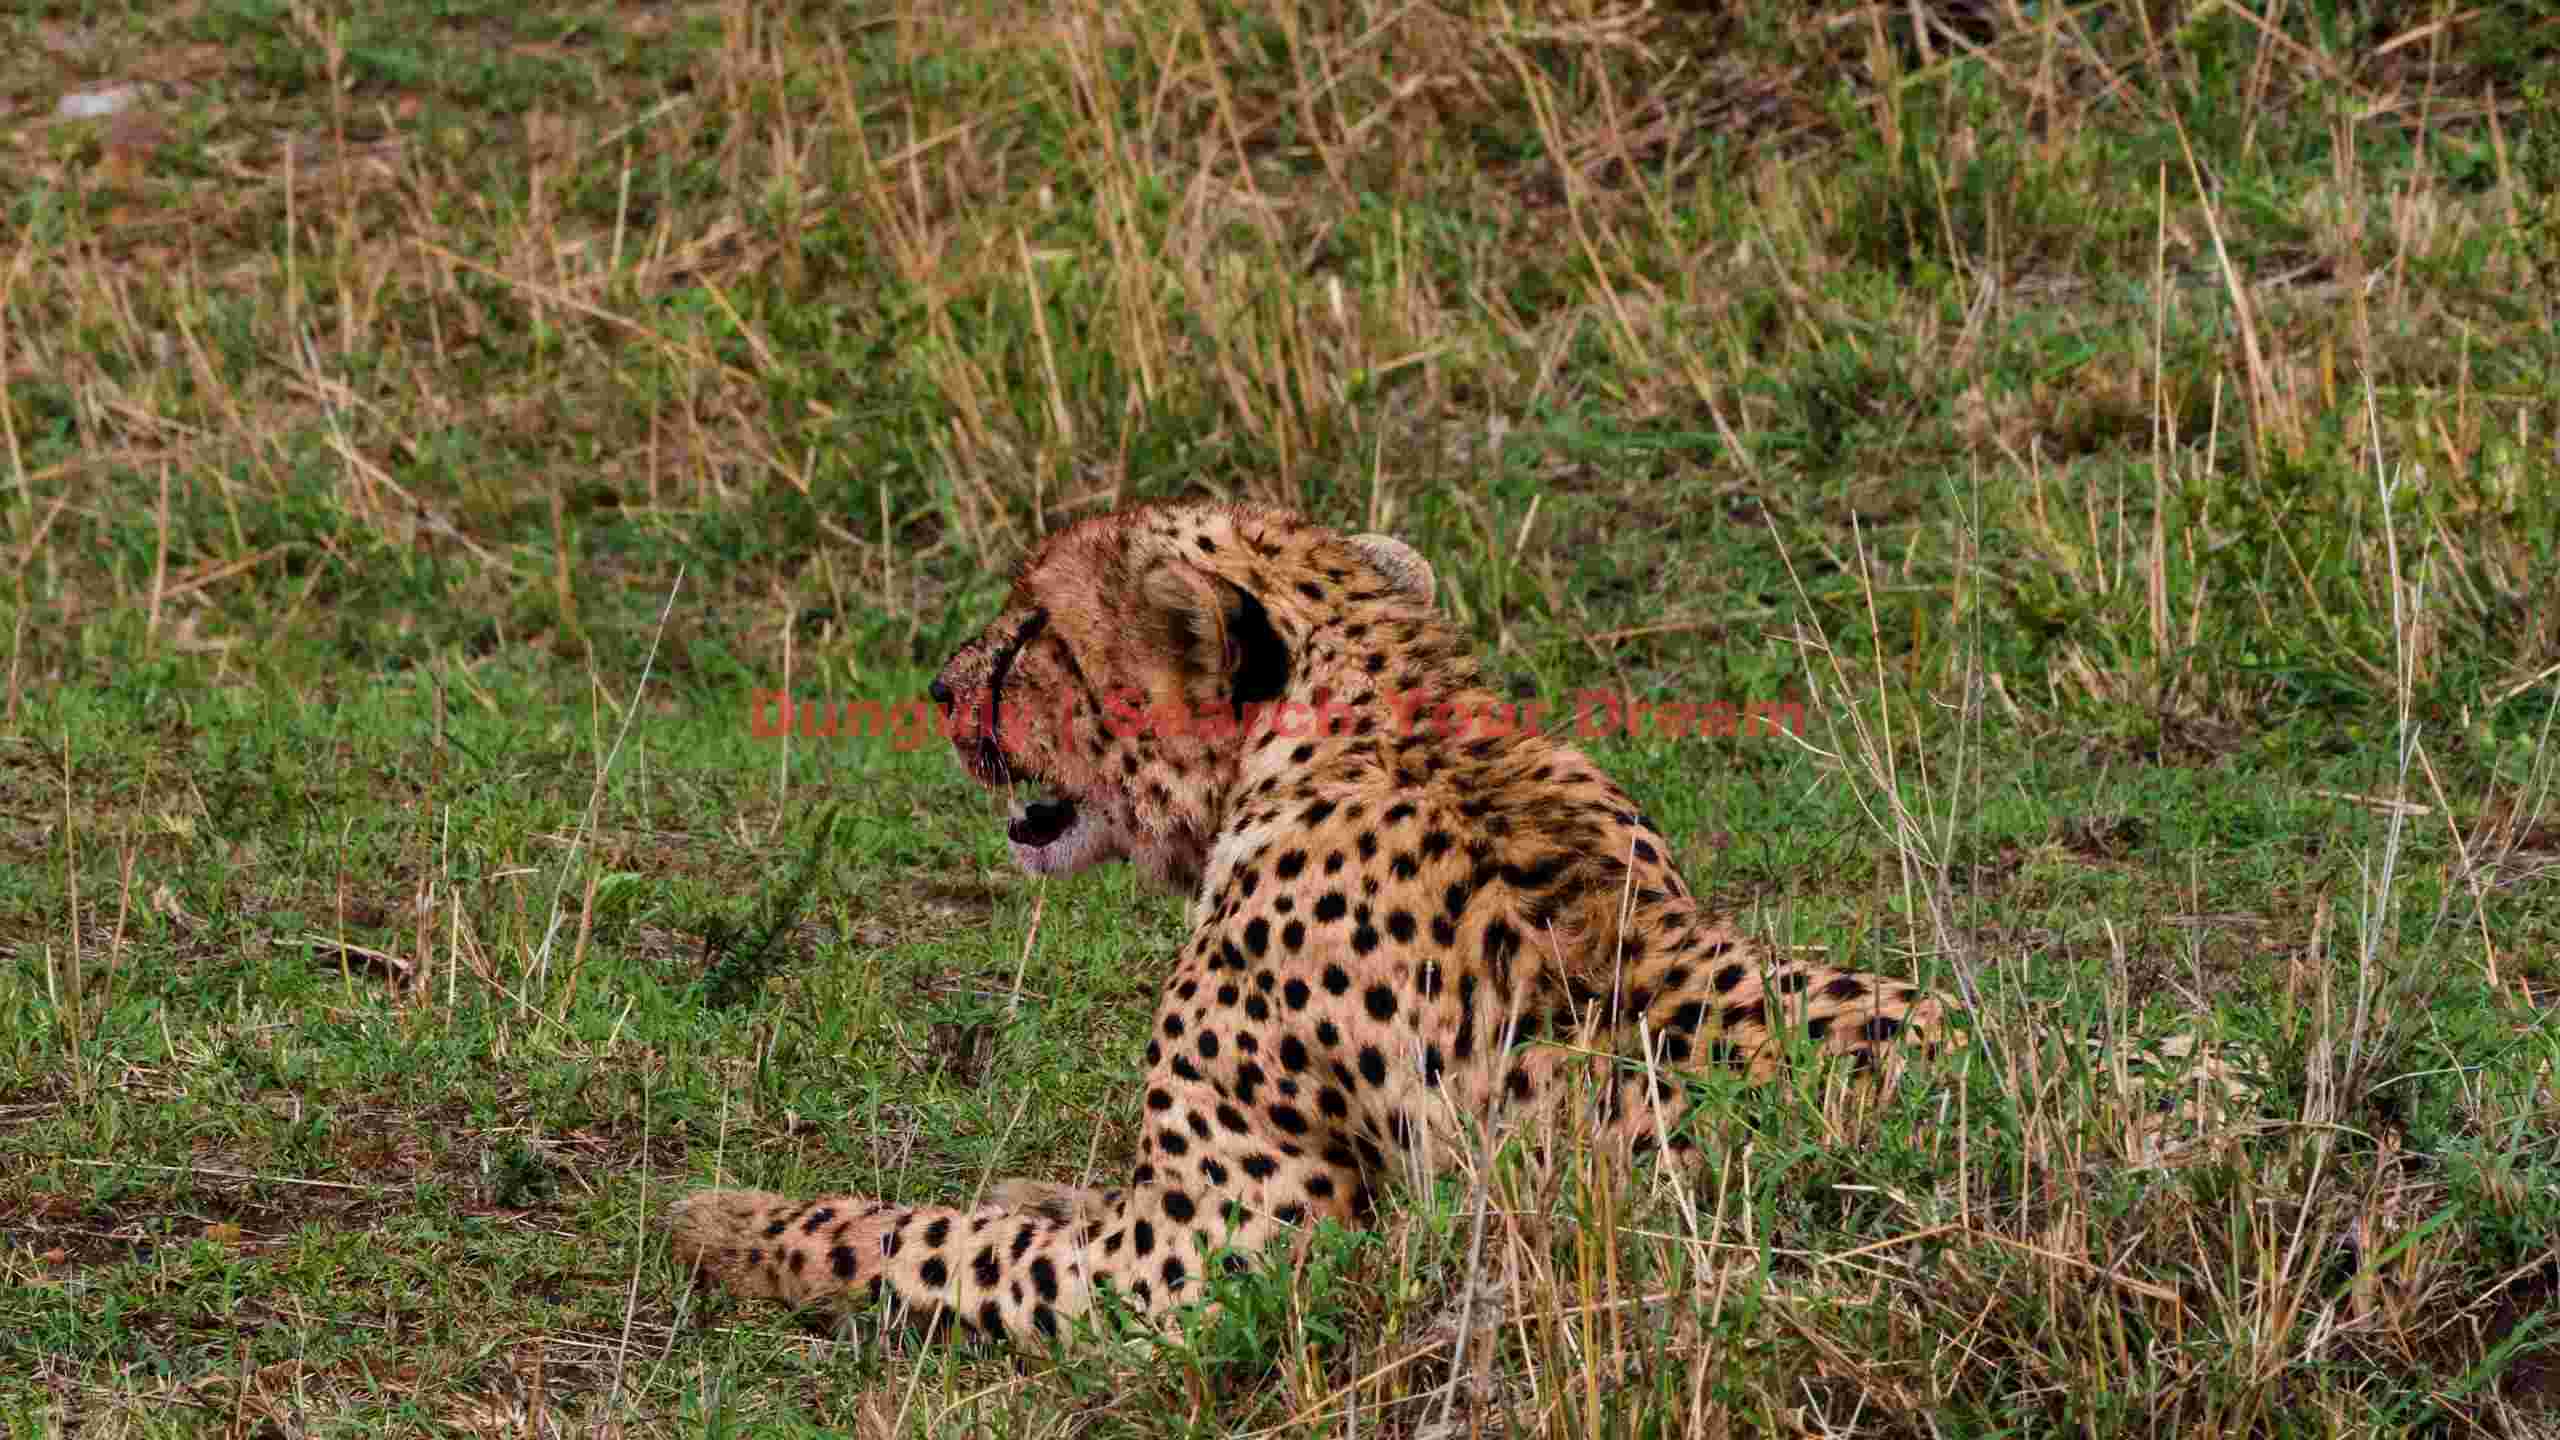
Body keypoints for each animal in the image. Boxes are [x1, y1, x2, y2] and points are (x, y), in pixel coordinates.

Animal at [668, 499, 1974, 1343]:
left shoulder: (1209, 1260)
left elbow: (926, 1239)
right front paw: (1033, 1188)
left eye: (1035, 628)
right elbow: (1017, 1215)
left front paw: (730, 1226)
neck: (1370, 732)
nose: (940, 689)